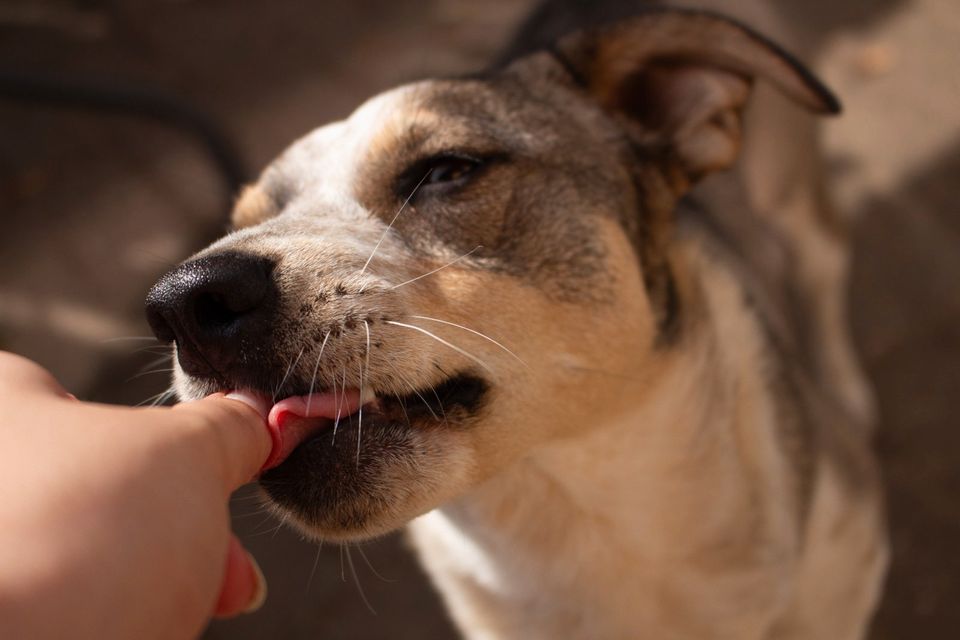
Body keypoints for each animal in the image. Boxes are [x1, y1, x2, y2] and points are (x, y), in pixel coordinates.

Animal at [146, 3, 888, 636]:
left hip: (789, 191)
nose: (184, 302)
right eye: (241, 221)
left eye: (447, 170)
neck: (576, 513)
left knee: (823, 256)